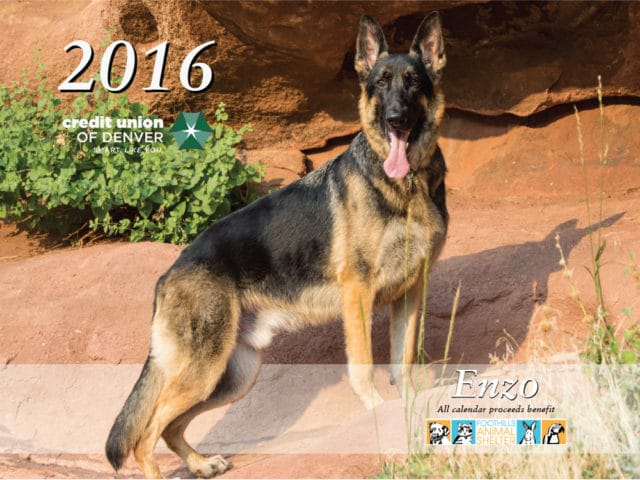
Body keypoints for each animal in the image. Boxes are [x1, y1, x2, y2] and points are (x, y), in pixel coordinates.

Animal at [106, 13, 444, 478]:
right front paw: (377, 411)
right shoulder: (358, 293)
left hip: (231, 377)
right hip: (206, 371)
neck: (403, 186)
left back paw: (201, 464)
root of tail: (168, 274)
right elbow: (363, 367)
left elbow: (402, 362)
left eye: (413, 83)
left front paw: (406, 408)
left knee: (171, 426)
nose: (395, 119)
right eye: (380, 83)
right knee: (146, 434)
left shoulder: (411, 293)